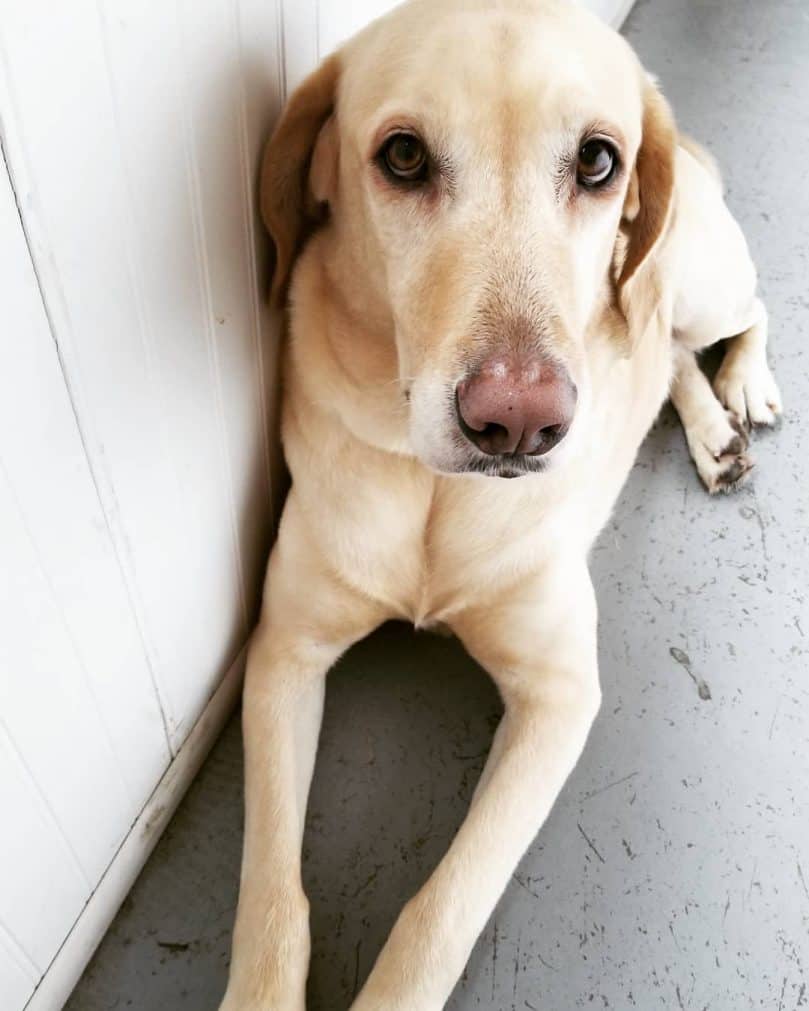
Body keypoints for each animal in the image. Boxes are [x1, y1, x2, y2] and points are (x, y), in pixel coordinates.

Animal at [218, 3, 780, 1006]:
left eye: (596, 160)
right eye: (402, 156)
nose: (519, 423)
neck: (434, 494)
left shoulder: (559, 696)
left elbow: (440, 909)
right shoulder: (282, 650)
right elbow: (271, 895)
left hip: (707, 279)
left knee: (743, 314)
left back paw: (742, 389)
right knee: (666, 345)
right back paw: (712, 432)